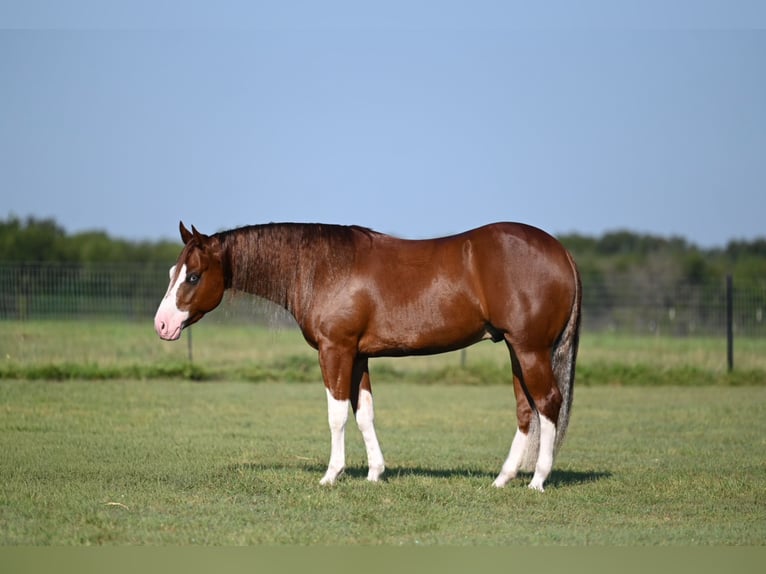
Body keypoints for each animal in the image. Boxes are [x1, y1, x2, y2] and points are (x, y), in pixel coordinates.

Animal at [154, 221, 581, 491]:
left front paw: (332, 474)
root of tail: (561, 251)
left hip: (529, 349)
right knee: (526, 410)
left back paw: (537, 481)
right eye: (173, 271)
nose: (162, 324)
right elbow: (365, 413)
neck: (321, 268)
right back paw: (503, 479)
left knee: (548, 403)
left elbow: (337, 414)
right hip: (515, 350)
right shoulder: (359, 356)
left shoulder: (336, 350)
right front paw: (375, 473)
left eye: (193, 276)